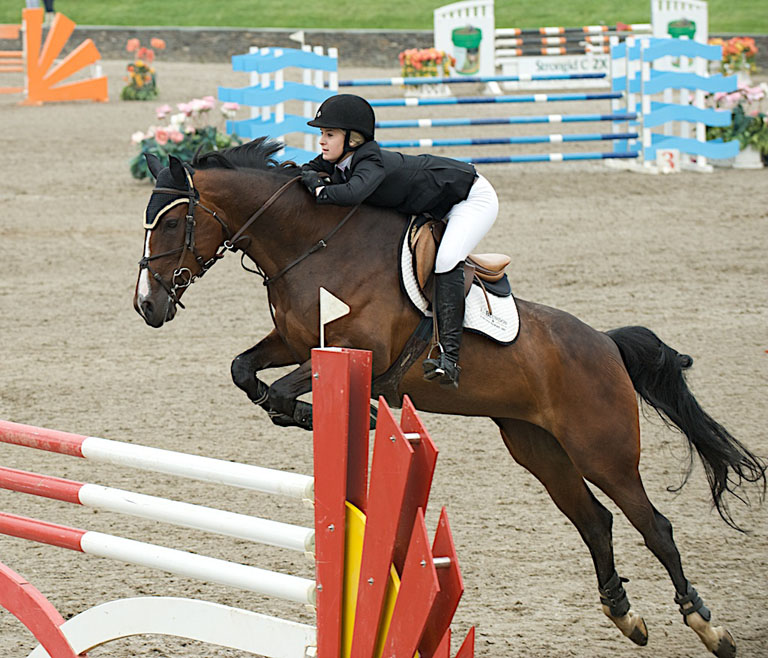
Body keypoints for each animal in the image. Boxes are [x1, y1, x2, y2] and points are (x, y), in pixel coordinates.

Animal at [133, 138, 765, 657]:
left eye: (173, 222)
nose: (147, 305)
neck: (311, 242)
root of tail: (606, 344)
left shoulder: (353, 349)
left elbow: (286, 389)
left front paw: (340, 414)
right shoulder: (290, 341)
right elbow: (245, 372)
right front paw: (322, 414)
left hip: (602, 451)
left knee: (654, 526)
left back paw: (710, 628)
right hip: (538, 448)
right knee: (595, 521)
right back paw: (624, 615)